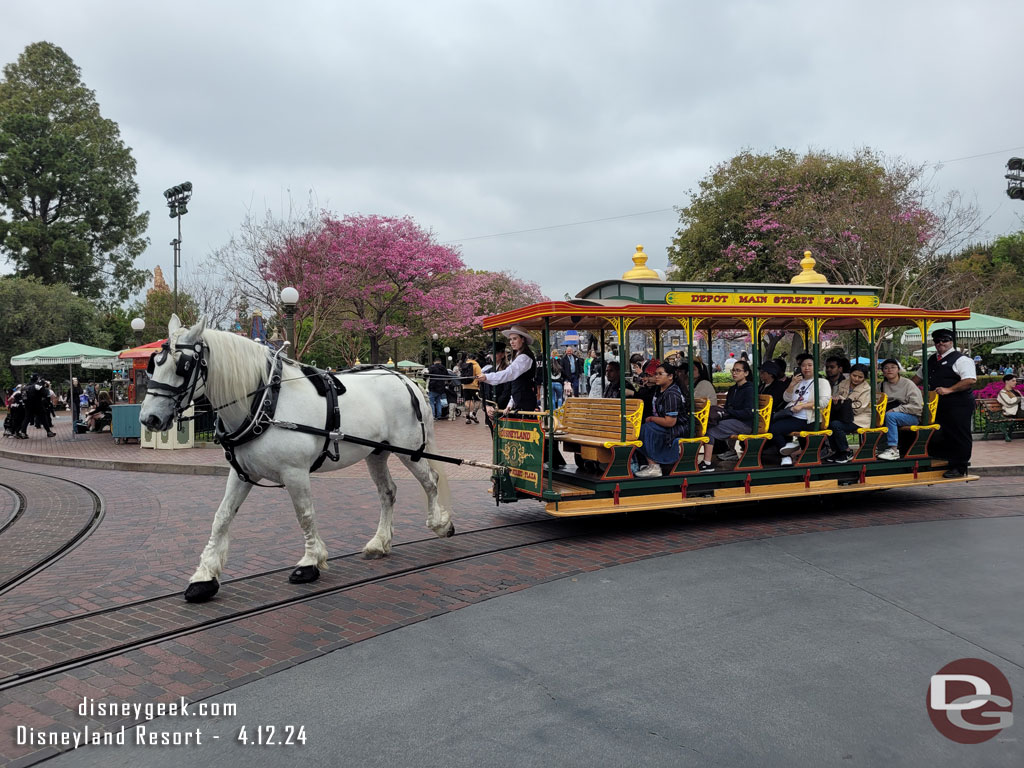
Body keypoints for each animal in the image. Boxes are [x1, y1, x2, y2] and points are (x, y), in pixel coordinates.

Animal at [139, 315, 452, 606]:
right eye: (153, 364)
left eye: (183, 366)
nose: (149, 418)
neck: (266, 403)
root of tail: (406, 380)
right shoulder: (241, 474)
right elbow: (222, 517)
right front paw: (204, 578)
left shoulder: (295, 472)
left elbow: (305, 514)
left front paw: (310, 563)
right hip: (377, 452)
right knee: (388, 492)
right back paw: (379, 543)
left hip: (409, 449)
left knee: (430, 481)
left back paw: (441, 524)